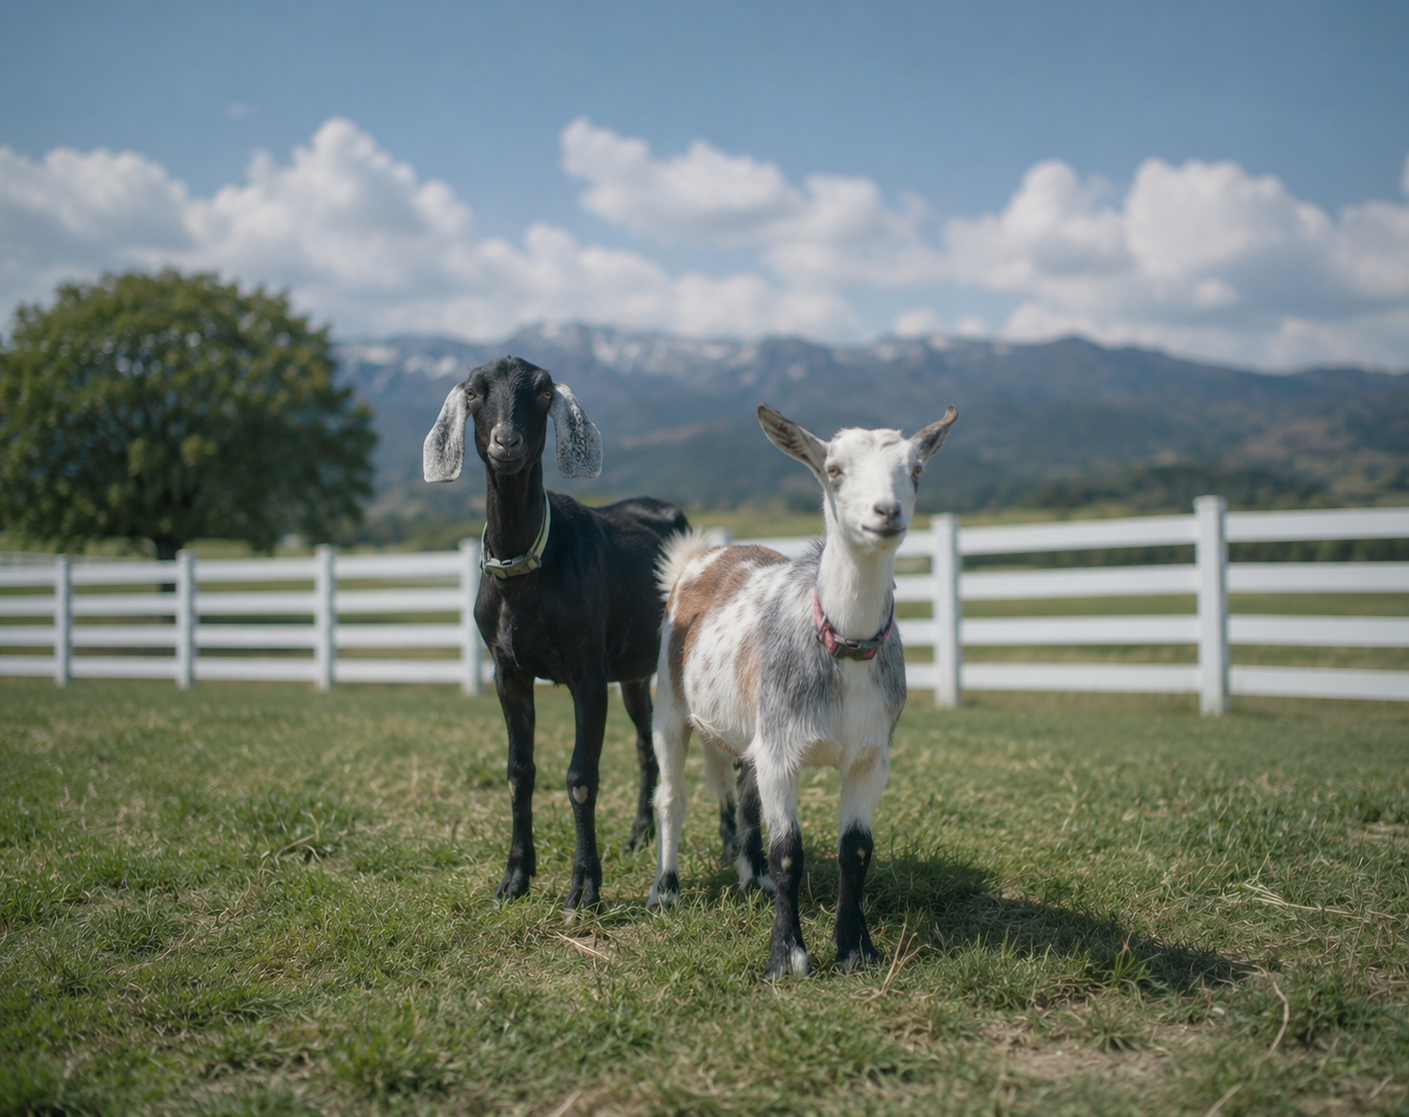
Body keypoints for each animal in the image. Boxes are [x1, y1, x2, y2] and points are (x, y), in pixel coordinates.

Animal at [424, 356, 689, 910]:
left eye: (545, 393)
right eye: (474, 393)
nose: (506, 441)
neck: (527, 570)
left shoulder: (587, 672)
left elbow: (581, 777)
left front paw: (585, 885)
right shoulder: (507, 671)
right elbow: (518, 773)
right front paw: (514, 878)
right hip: (633, 672)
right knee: (643, 741)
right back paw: (638, 836)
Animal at [648, 402, 957, 978]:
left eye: (916, 471)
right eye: (833, 469)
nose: (886, 512)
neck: (843, 646)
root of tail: (703, 555)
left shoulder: (870, 757)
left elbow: (855, 850)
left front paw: (856, 949)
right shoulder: (780, 753)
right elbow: (788, 850)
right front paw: (785, 955)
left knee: (745, 800)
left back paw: (753, 878)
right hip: (669, 708)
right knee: (671, 799)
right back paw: (666, 889)